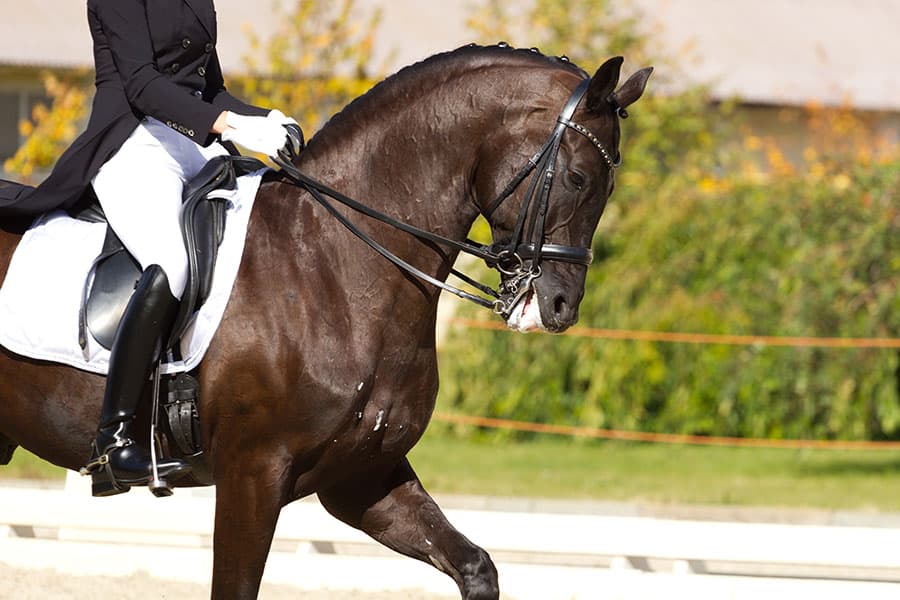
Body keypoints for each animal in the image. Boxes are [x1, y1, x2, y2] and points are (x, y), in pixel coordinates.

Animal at [0, 47, 648, 600]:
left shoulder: (361, 476)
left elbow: (475, 566)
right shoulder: (252, 476)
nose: (559, 307)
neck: (332, 264)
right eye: (578, 178)